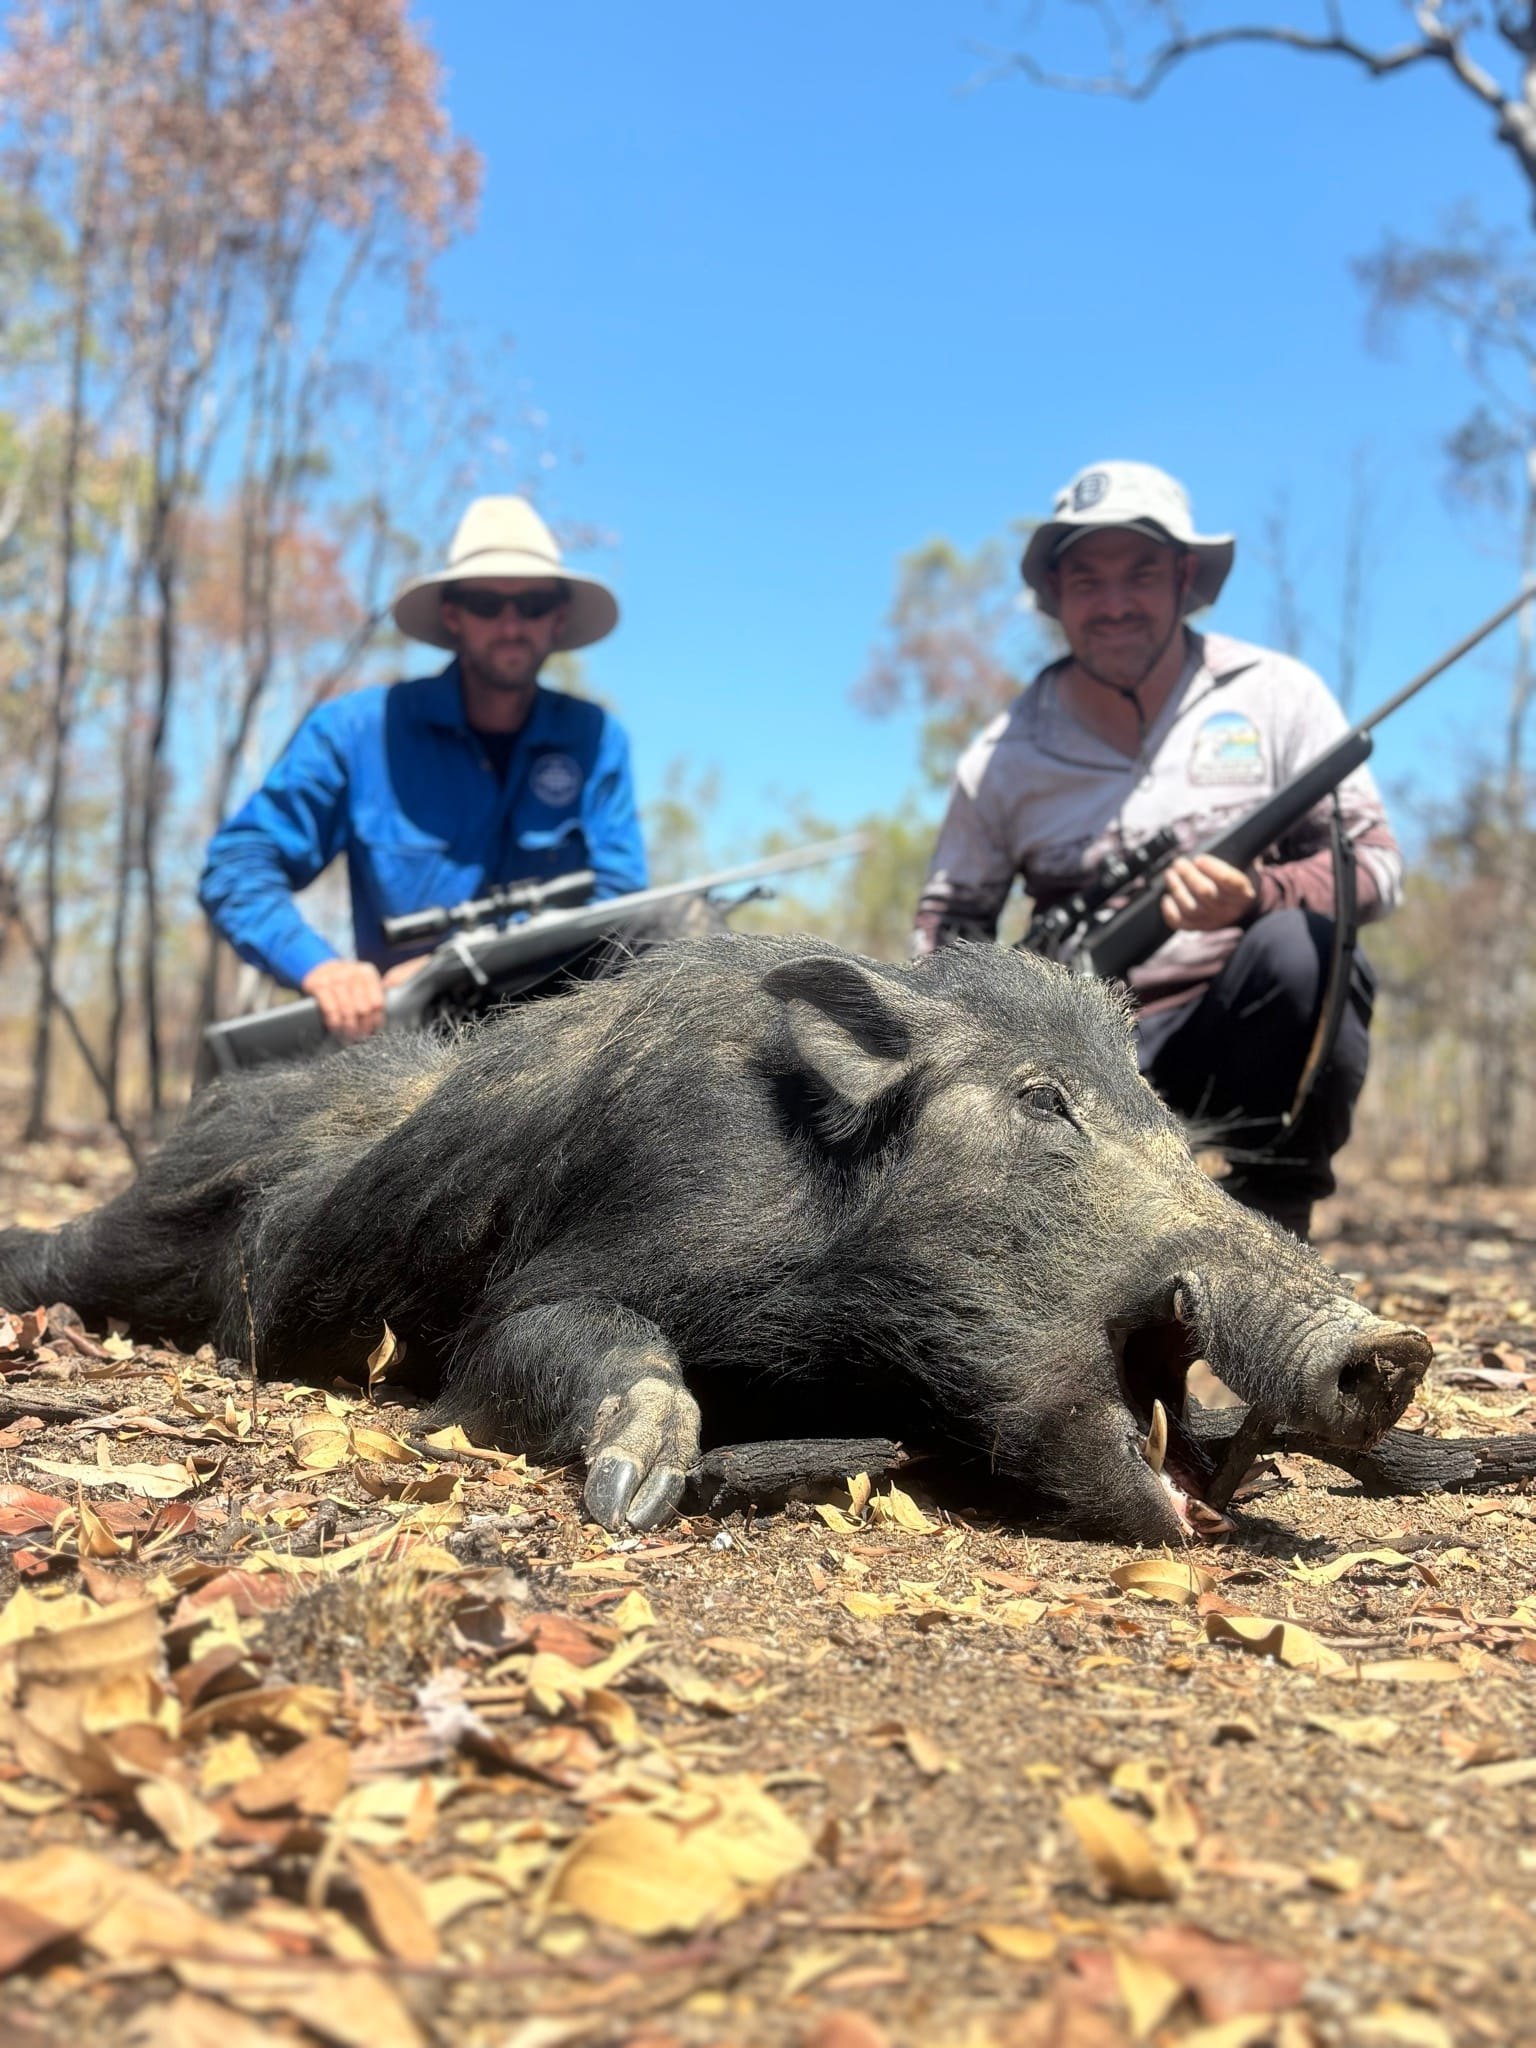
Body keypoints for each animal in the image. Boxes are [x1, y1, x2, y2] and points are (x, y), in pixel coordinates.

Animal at [0, 935, 1435, 1542]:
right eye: (1044, 1101)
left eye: (1161, 1110)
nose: (1397, 1344)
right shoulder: (531, 1301)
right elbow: (576, 1342)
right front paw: (633, 1500)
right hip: (147, 1240)